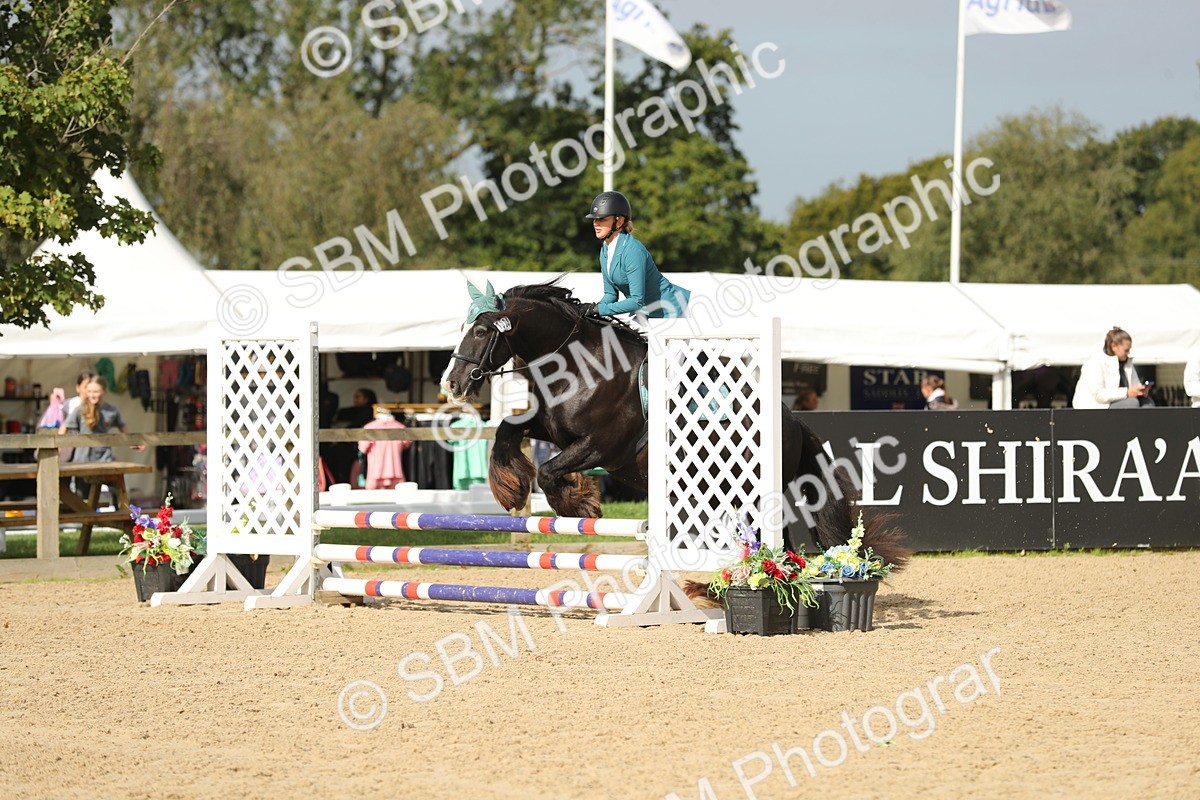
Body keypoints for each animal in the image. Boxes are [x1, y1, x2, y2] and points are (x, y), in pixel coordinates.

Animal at [439, 279, 909, 570]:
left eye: (481, 331)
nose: (452, 383)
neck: (579, 365)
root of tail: (793, 421)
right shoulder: (551, 429)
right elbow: (507, 431)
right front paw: (509, 487)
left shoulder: (602, 445)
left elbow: (552, 472)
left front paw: (582, 505)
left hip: (752, 486)